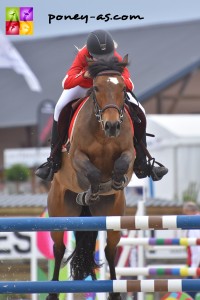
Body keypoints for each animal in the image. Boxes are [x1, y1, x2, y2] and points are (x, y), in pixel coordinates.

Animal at [46, 55, 135, 300]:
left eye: (123, 88)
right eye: (96, 87)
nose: (112, 126)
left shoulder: (130, 153)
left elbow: (123, 162)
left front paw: (115, 181)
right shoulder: (76, 156)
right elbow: (91, 171)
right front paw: (91, 190)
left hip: (113, 216)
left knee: (110, 250)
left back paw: (115, 292)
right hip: (59, 212)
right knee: (59, 249)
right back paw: (52, 292)